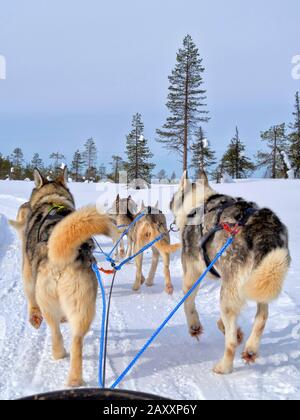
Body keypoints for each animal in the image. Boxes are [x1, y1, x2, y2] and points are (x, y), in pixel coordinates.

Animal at [10, 168, 118, 388]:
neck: (52, 199)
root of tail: (64, 257)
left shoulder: (27, 271)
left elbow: (30, 298)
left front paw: (33, 317)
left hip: (48, 302)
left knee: (55, 332)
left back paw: (58, 353)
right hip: (83, 307)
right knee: (76, 341)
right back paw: (75, 379)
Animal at [171, 171, 290, 374]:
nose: (170, 202)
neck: (199, 202)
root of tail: (262, 227)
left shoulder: (192, 274)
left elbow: (188, 304)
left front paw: (195, 327)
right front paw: (233, 330)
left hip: (229, 294)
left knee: (231, 343)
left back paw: (223, 366)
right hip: (258, 282)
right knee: (261, 318)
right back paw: (250, 349)